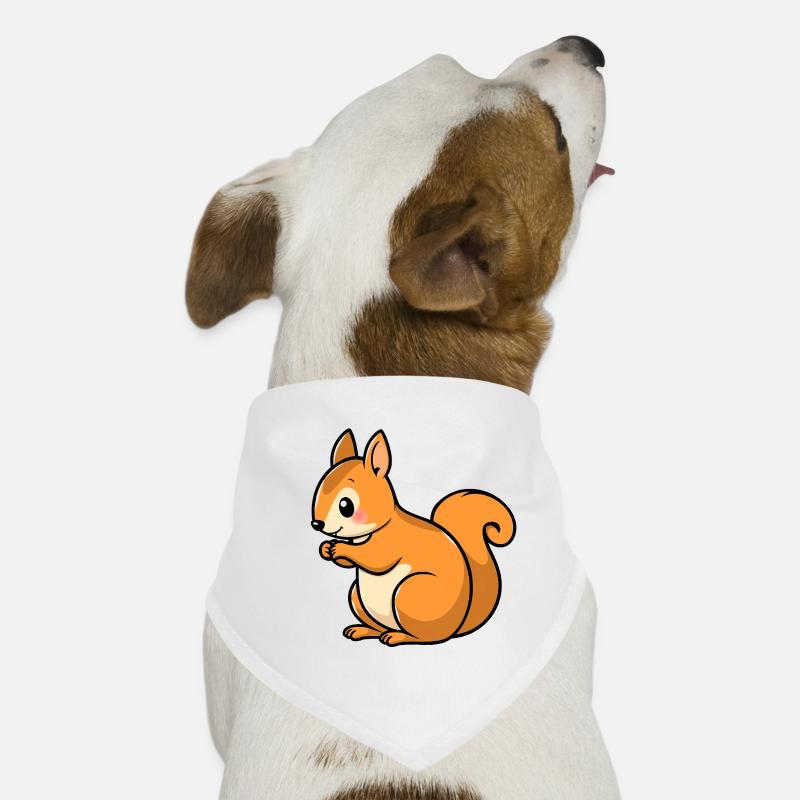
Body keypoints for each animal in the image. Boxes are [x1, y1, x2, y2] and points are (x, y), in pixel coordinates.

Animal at [311, 428, 516, 647]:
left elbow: (375, 559)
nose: (317, 524)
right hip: (356, 595)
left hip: (410, 594)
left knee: (425, 637)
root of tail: (456, 627)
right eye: (319, 491)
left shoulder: (391, 544)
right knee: (380, 627)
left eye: (346, 505)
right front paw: (326, 548)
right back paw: (364, 630)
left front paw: (339, 548)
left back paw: (396, 636)